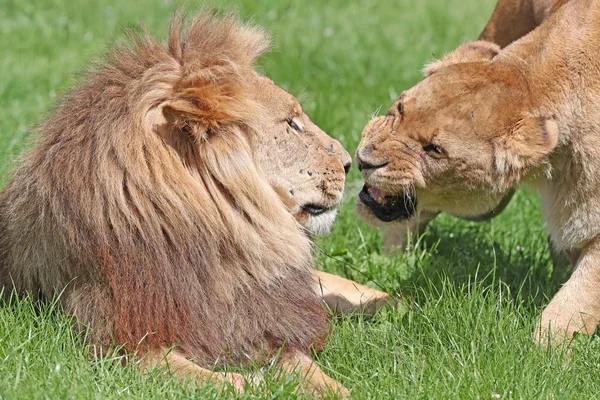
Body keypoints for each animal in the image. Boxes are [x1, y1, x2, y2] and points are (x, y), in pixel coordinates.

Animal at [0, 10, 384, 396]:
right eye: (291, 123)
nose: (350, 163)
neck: (220, 240)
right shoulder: (118, 347)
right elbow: (227, 384)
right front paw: (254, 383)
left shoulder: (262, 322)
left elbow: (316, 374)